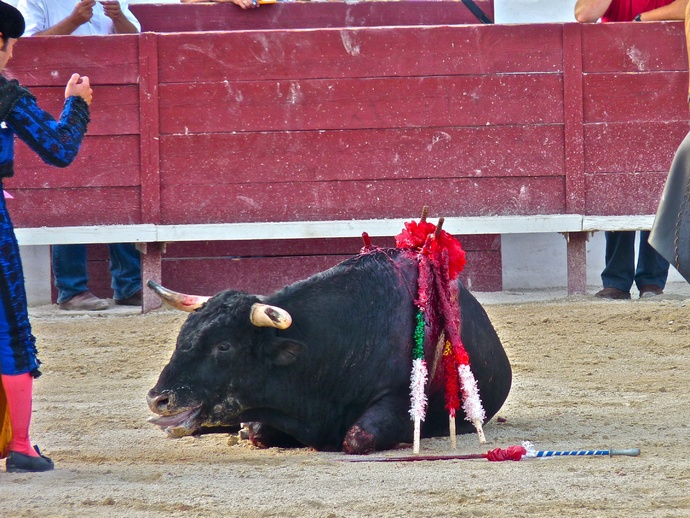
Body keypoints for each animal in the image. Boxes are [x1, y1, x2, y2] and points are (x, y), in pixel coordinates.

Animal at [146, 246, 512, 454]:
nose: (157, 398)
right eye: (183, 335)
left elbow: (357, 438)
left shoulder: (400, 400)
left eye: (224, 346)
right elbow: (259, 432)